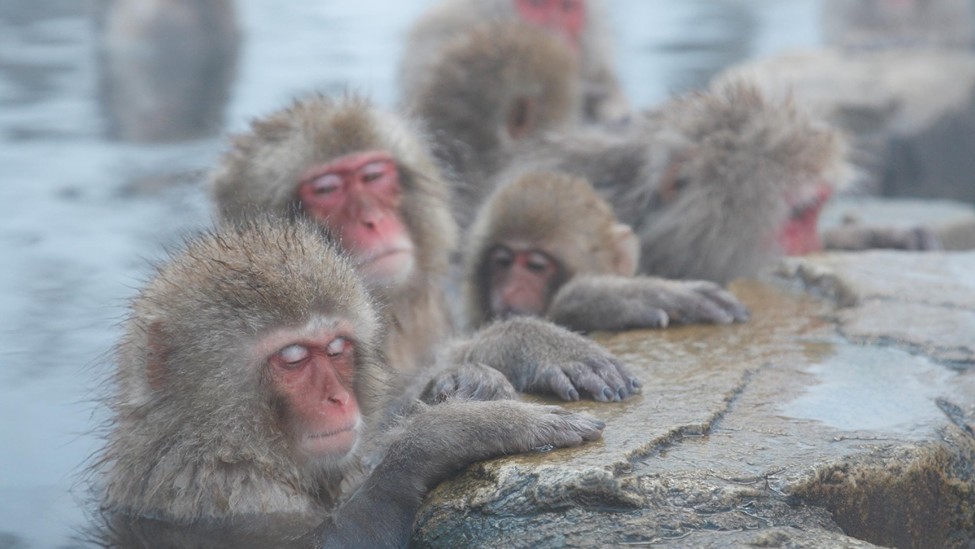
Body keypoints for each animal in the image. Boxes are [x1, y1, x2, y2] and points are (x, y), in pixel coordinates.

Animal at [92, 219, 605, 547]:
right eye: (293, 358)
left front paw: (501, 356)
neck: (222, 439)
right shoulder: (223, 490)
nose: (338, 398)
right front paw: (454, 432)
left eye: (337, 348)